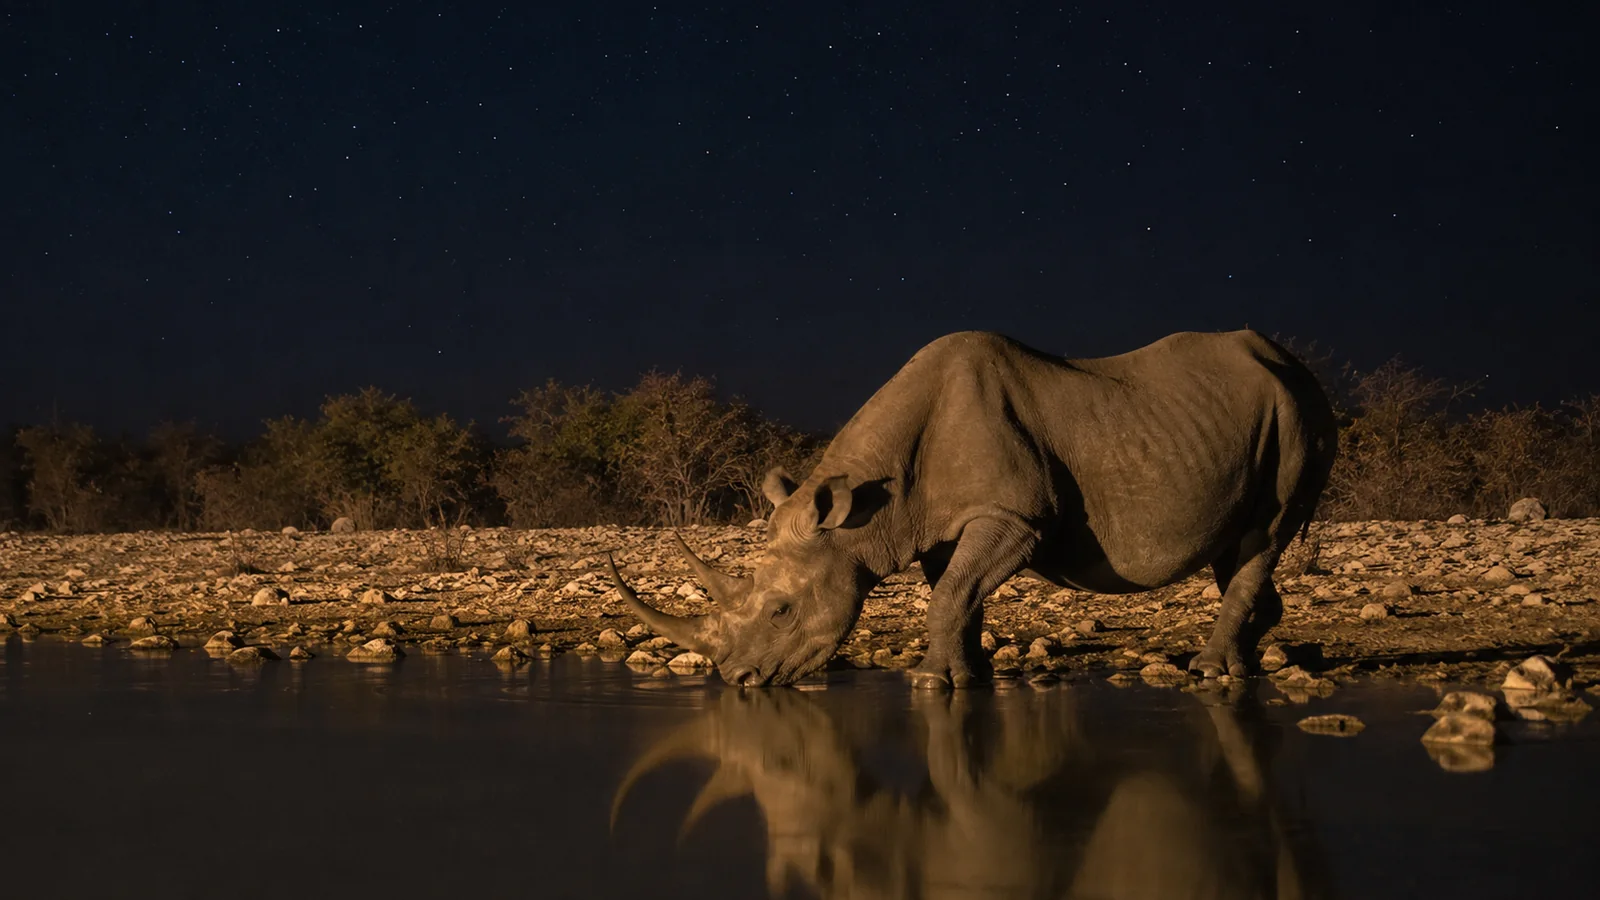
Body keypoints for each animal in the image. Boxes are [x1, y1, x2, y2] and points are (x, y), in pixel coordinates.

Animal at [609, 329, 1337, 688]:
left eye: (781, 612)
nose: (738, 680)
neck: (863, 511)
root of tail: (1295, 364)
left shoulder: (1015, 517)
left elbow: (952, 594)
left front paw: (931, 685)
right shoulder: (937, 524)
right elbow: (958, 595)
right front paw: (970, 676)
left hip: (1300, 414)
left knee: (1264, 534)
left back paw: (1211, 673)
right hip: (1260, 418)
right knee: (1239, 548)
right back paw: (1255, 664)